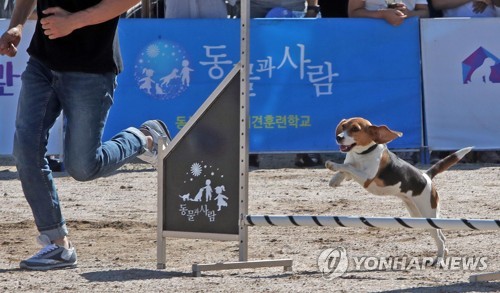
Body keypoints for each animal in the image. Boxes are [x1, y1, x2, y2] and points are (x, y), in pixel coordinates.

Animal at [324, 116, 472, 260]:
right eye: (343, 126)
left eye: (355, 129)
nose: (339, 137)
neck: (362, 153)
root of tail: (427, 177)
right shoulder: (354, 171)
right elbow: (346, 169)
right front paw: (335, 180)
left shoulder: (366, 179)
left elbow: (347, 167)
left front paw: (332, 165)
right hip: (418, 215)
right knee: (441, 235)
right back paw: (444, 252)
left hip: (428, 213)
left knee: (439, 238)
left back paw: (440, 258)